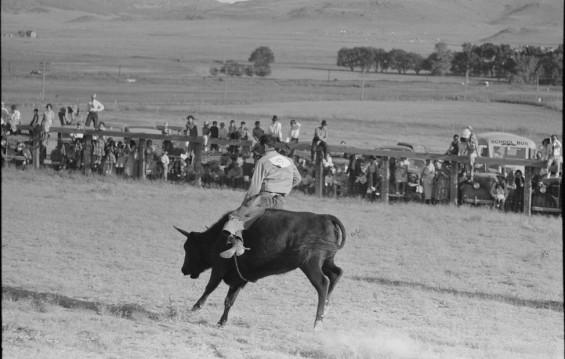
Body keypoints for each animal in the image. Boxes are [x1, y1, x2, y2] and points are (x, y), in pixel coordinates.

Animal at [174, 208, 346, 330]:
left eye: (188, 248)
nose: (183, 269)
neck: (218, 238)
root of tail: (325, 217)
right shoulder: (239, 278)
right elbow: (229, 300)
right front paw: (222, 322)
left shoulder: (219, 267)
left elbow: (210, 287)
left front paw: (195, 307)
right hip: (327, 260)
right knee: (336, 274)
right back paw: (326, 309)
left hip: (311, 263)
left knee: (323, 283)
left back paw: (318, 322)